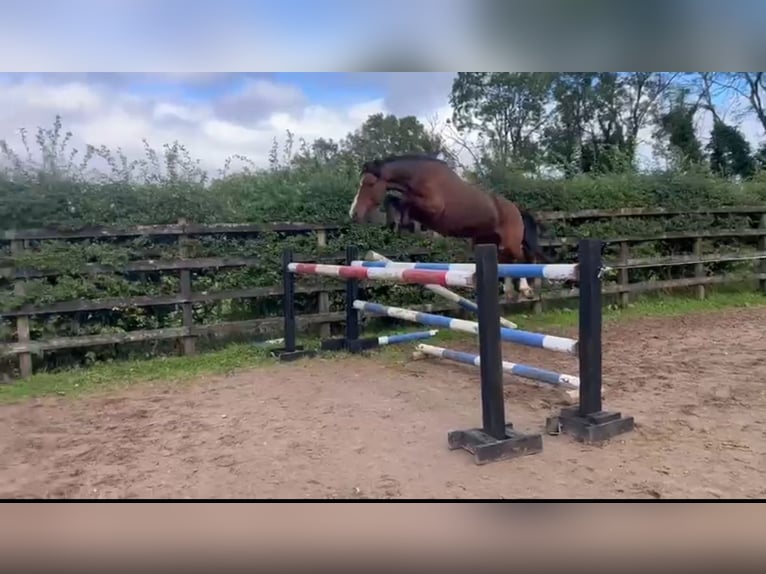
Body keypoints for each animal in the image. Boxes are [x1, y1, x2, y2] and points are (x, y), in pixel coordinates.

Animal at [348, 154, 550, 300]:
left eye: (369, 183)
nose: (353, 214)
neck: (421, 177)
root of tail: (516, 209)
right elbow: (394, 200)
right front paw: (396, 224)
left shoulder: (432, 208)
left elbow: (403, 201)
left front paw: (399, 223)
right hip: (486, 241)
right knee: (507, 261)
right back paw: (508, 292)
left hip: (510, 242)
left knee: (521, 259)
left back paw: (525, 289)